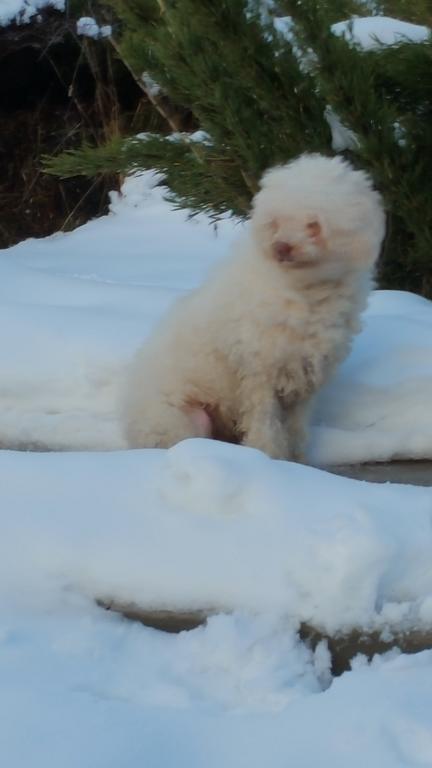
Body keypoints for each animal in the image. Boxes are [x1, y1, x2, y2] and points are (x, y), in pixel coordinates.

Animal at [124, 153, 384, 460]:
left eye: (314, 224)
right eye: (275, 222)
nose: (281, 247)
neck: (302, 295)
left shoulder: (305, 380)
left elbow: (296, 428)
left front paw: (297, 462)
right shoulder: (259, 374)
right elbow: (266, 427)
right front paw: (269, 459)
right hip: (187, 419)